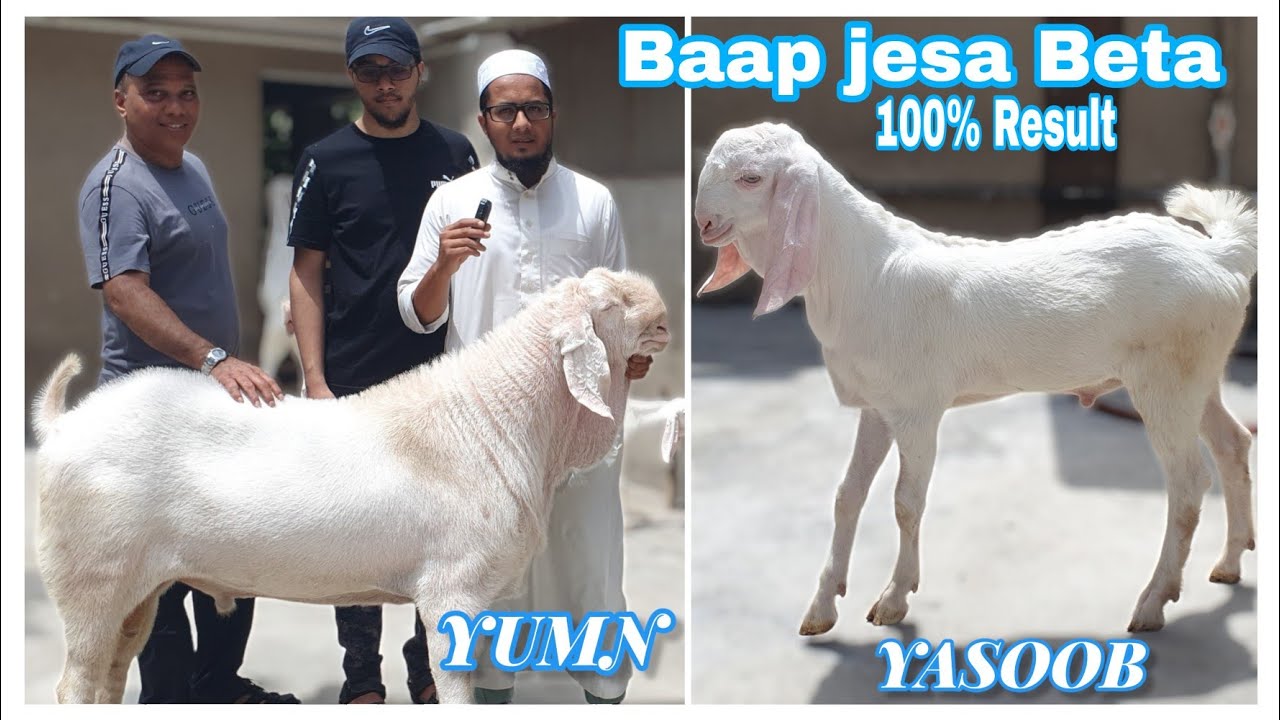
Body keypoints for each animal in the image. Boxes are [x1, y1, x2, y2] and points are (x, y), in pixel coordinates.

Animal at [32, 268, 670, 704]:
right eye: (610, 304)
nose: (663, 311)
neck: (499, 420)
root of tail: (63, 422)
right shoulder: (452, 590)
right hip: (92, 575)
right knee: (75, 681)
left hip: (138, 588)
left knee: (112, 675)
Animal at [694, 122, 1256, 635]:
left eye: (750, 177)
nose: (703, 223)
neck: (863, 273)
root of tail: (1220, 254)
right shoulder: (877, 407)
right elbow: (847, 496)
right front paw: (821, 608)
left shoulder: (918, 410)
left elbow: (905, 502)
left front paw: (893, 599)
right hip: (1199, 376)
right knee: (1233, 443)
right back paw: (1230, 564)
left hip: (1167, 381)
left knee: (1188, 484)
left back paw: (1153, 602)